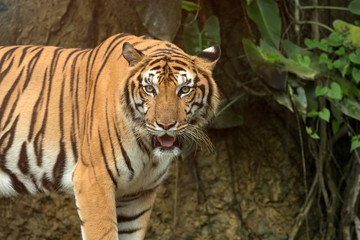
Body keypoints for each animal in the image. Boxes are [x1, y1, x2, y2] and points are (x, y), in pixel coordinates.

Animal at [0, 32, 219, 239]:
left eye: (184, 90)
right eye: (150, 89)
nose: (166, 125)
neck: (148, 150)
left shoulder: (138, 194)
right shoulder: (93, 180)